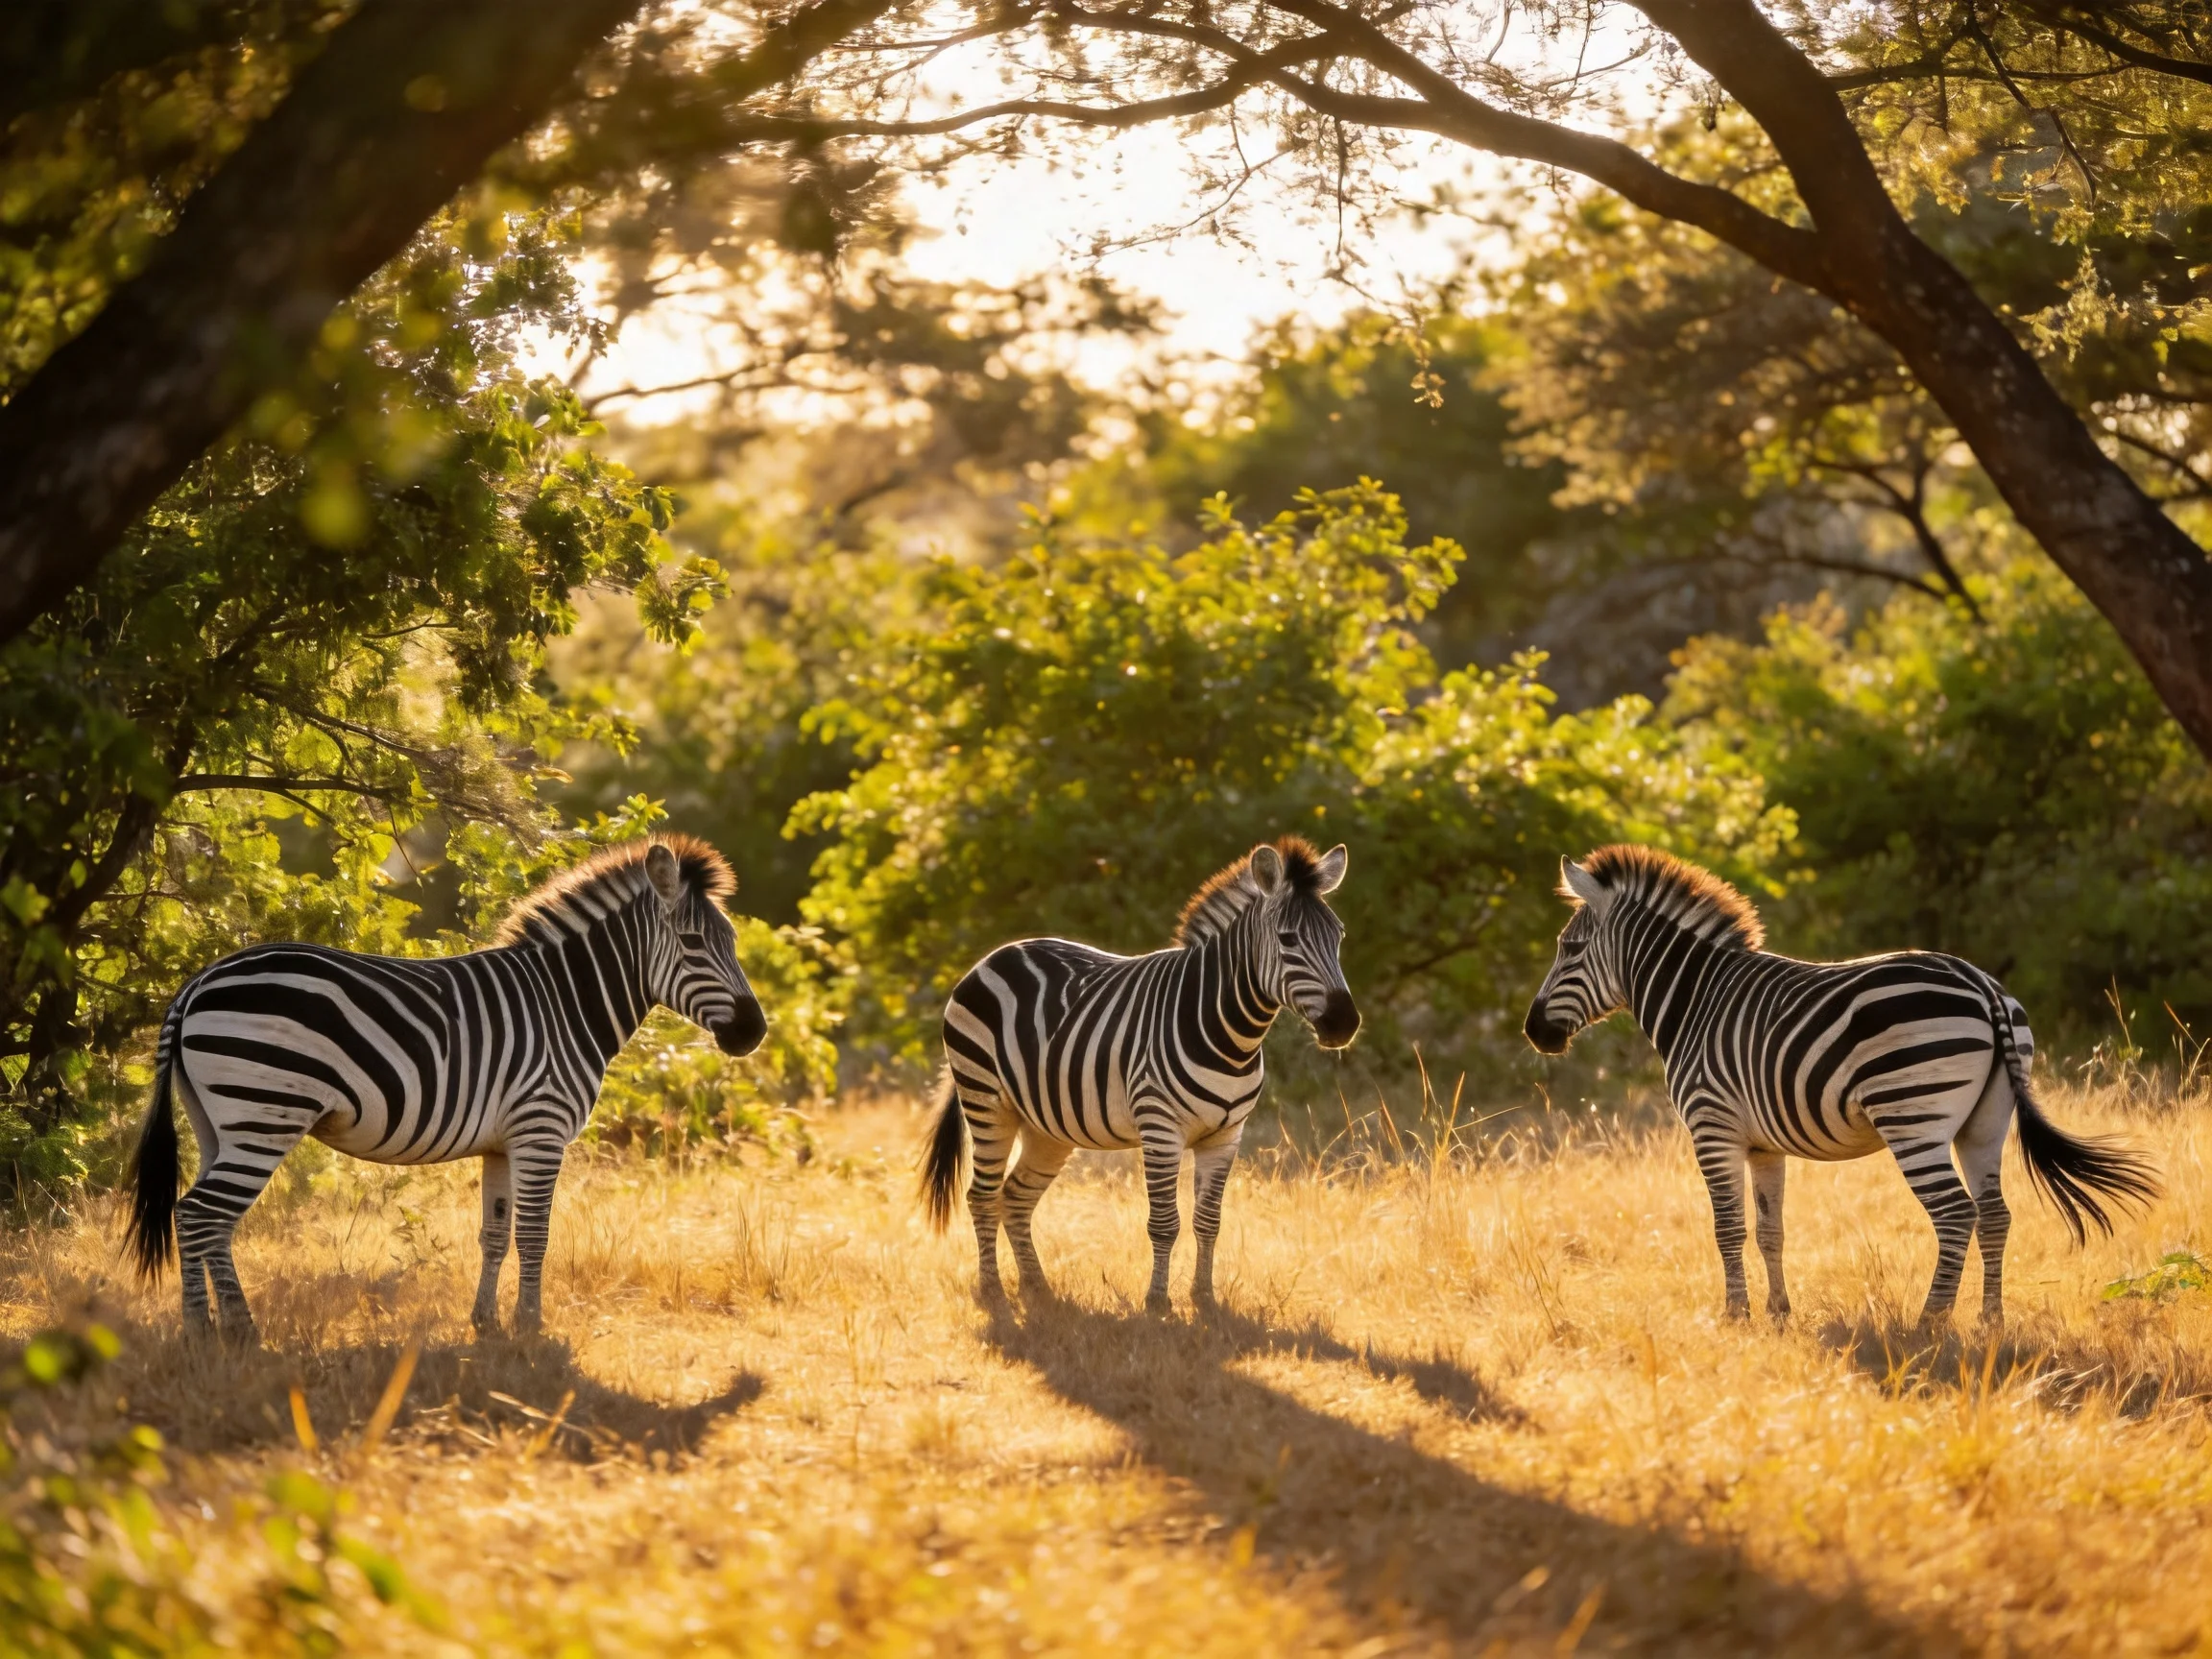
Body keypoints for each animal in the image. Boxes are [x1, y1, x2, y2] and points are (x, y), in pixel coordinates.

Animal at [124, 836, 766, 1339]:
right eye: (694, 944)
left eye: (733, 942)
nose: (755, 1032)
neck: (565, 1002)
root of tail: (197, 983)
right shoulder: (542, 1129)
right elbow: (535, 1234)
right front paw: (531, 1329)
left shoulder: (504, 1142)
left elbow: (495, 1234)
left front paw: (487, 1325)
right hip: (265, 1115)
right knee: (198, 1215)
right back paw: (211, 1332)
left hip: (219, 1123)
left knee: (208, 1221)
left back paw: (229, 1329)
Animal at [921, 836, 1359, 1313]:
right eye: (1288, 938)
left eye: (1339, 936)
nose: (1344, 1023)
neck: (1230, 1036)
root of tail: (997, 955)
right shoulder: (1160, 1127)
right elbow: (1165, 1222)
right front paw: (1158, 1304)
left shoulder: (1227, 1136)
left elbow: (1209, 1221)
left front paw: (1204, 1300)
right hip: (986, 1101)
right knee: (982, 1197)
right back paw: (994, 1295)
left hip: (1045, 1126)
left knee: (1015, 1197)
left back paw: (1039, 1291)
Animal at [1522, 844, 2158, 1325]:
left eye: (1568, 950)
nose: (1534, 1032)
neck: (1694, 1000)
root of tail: (1980, 984)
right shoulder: (1762, 1144)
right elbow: (1769, 1229)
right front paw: (1779, 1313)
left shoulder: (1711, 1126)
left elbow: (1727, 1228)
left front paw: (1735, 1316)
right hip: (1986, 1121)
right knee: (1995, 1214)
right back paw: (1989, 1320)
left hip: (1912, 1117)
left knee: (1957, 1214)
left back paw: (1930, 1322)